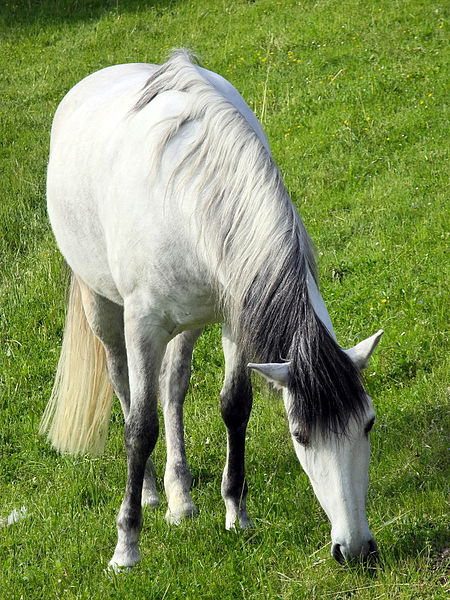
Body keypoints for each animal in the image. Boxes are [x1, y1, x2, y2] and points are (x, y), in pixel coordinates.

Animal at [39, 50, 384, 568]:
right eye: (300, 435)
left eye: (368, 423)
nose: (356, 549)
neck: (190, 188)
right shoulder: (142, 326)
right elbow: (140, 428)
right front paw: (126, 547)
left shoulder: (234, 318)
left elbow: (234, 406)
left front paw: (236, 513)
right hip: (103, 307)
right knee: (123, 386)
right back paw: (151, 493)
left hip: (189, 323)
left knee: (173, 387)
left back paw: (180, 498)